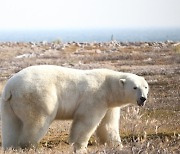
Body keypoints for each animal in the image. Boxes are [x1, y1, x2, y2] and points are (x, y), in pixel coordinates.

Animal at [0, 65, 149, 152]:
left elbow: (108, 125)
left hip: (8, 104)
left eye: (145, 86)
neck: (108, 86)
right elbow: (85, 122)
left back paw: (10, 146)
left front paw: (118, 145)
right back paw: (30, 146)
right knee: (37, 121)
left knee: (11, 125)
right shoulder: (95, 98)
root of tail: (11, 88)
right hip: (37, 96)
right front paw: (79, 146)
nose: (143, 98)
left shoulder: (109, 105)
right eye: (135, 87)